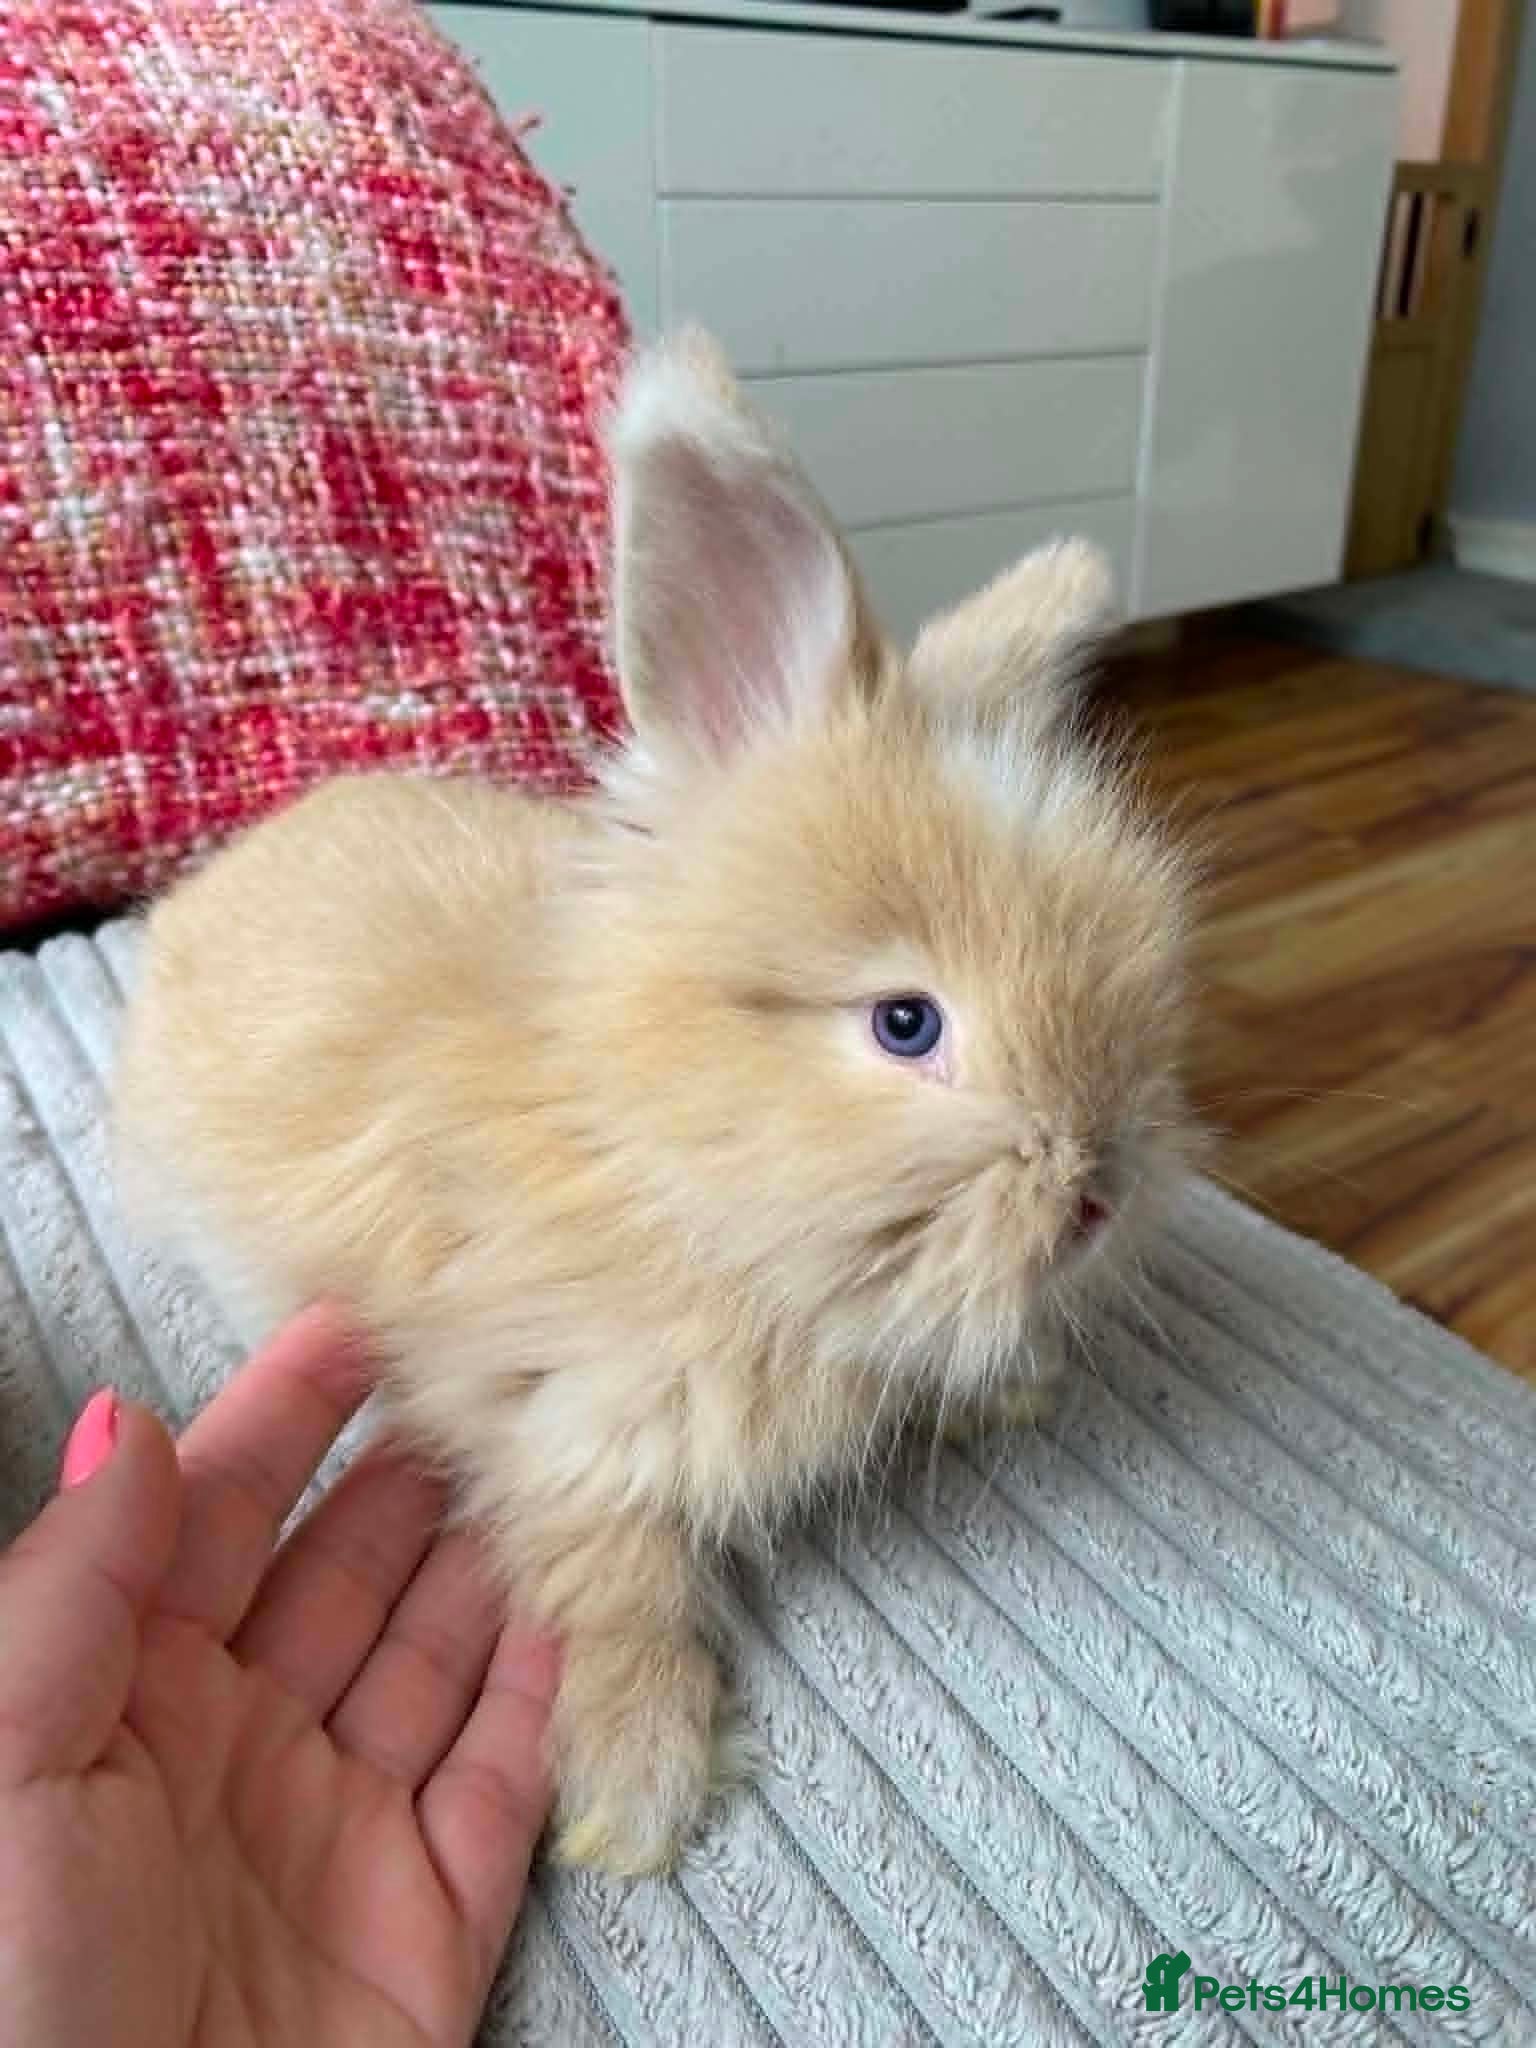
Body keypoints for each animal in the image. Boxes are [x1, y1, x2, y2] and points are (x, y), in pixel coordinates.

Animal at [112, 330, 1196, 1877]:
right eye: (906, 1024)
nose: (1100, 1194)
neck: (647, 1137)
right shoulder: (561, 1421)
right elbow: (616, 1584)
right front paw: (640, 1790)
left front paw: (1013, 1386)